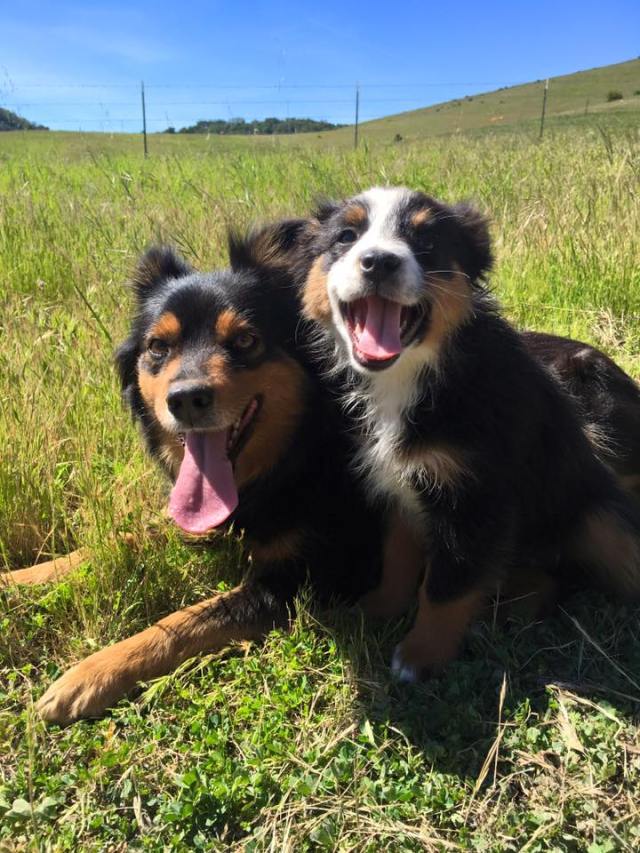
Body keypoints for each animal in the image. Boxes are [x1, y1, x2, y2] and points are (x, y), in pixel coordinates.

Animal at [294, 186, 640, 681]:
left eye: (427, 241)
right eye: (346, 236)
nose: (378, 262)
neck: (410, 378)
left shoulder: (475, 497)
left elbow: (446, 585)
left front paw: (420, 656)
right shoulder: (398, 486)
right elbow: (398, 558)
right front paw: (377, 610)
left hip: (603, 520)